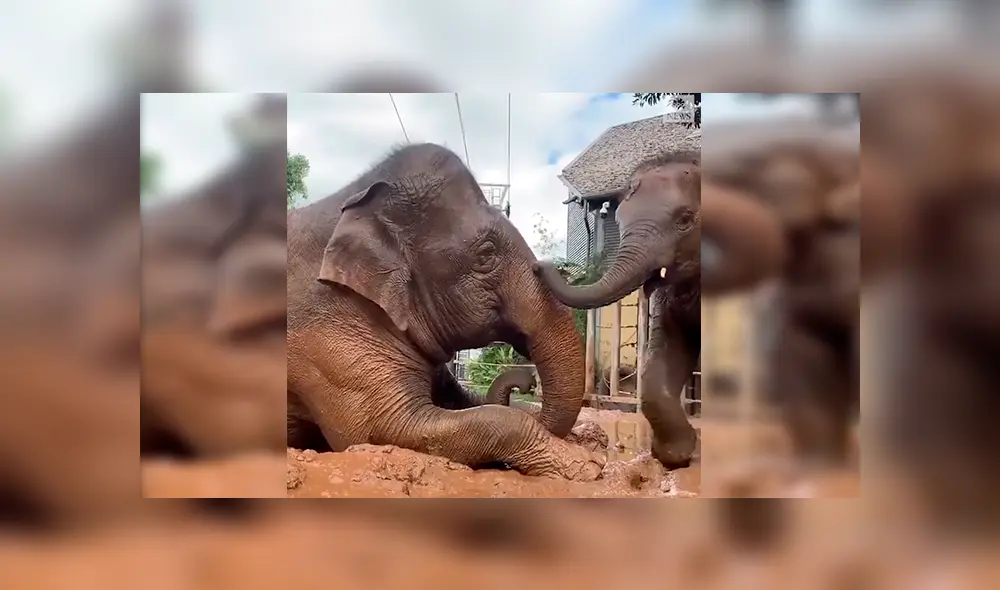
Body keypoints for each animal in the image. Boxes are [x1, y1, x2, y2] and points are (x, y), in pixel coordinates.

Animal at [286, 143, 605, 481]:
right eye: (486, 254)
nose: (526, 382)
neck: (353, 197)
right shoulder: (324, 334)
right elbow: (379, 429)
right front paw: (587, 466)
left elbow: (467, 403)